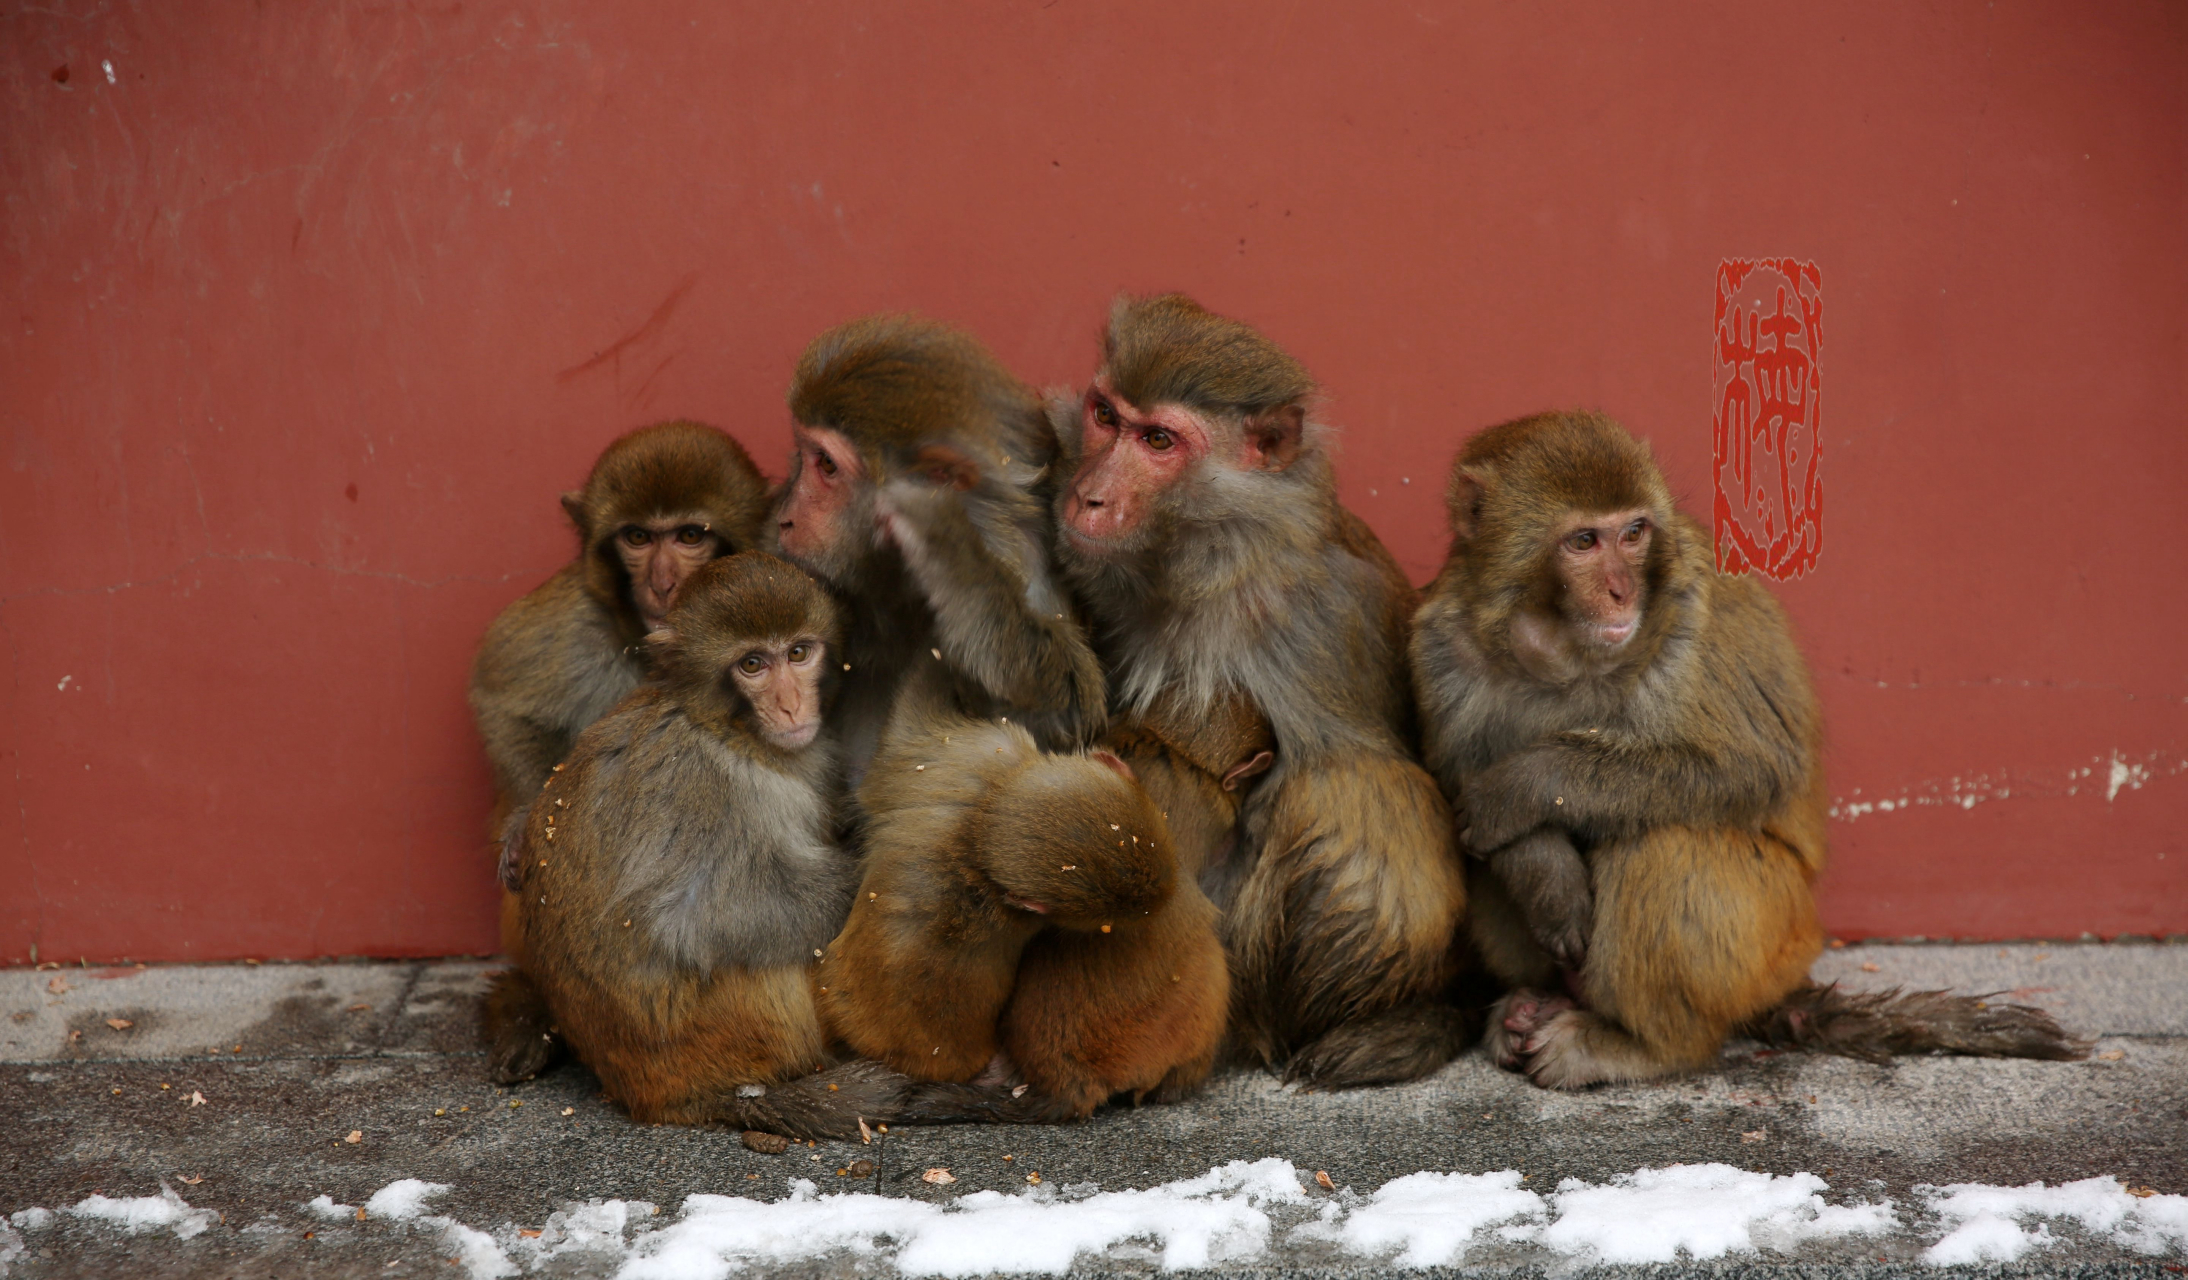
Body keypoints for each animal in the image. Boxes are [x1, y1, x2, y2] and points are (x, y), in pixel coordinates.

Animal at [470, 424, 770, 1085]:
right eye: (637, 537)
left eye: (689, 536)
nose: (661, 582)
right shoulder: (576, 612)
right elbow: (502, 698)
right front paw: (522, 826)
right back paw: (533, 1014)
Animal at [511, 553, 1023, 1129]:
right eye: (752, 665)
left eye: (798, 653)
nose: (791, 705)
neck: (727, 731)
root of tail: (660, 1099)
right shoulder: (701, 782)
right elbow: (693, 915)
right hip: (733, 1034)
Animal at [1045, 295, 1461, 1085]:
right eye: (1106, 416)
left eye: (1159, 440)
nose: (1088, 496)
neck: (1214, 557)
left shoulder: (1314, 622)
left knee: (1350, 789)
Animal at [1400, 411, 2082, 1089]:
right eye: (1584, 542)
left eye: (1634, 533)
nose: (1622, 592)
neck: (1567, 652)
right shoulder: (1440, 643)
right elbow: (1457, 777)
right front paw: (1545, 873)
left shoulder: (1695, 614)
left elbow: (1750, 767)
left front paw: (1525, 786)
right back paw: (1532, 1003)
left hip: (1772, 939)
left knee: (1664, 843)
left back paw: (1646, 1046)